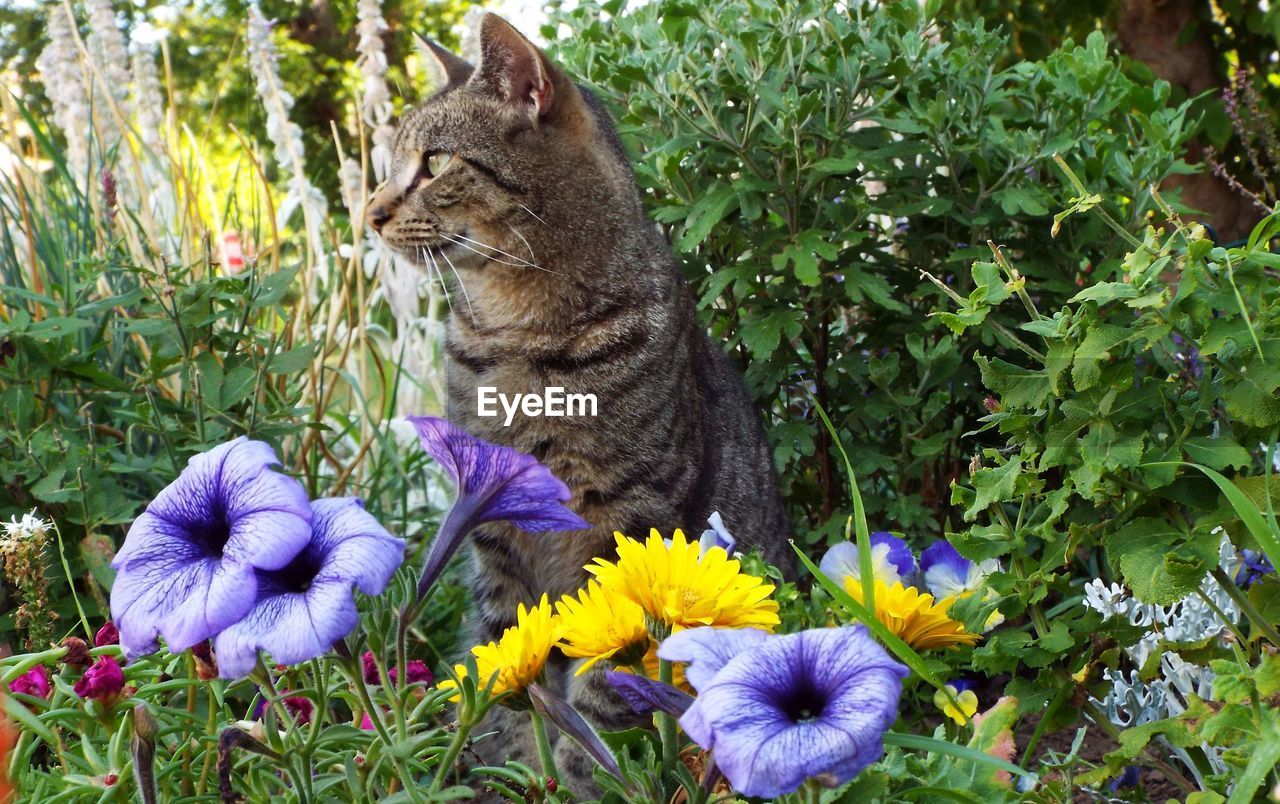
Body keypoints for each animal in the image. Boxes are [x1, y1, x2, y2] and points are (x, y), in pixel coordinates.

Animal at [366, 10, 788, 793]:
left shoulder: (630, 517)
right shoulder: (496, 524)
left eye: (433, 164)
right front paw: (516, 767)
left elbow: (603, 675)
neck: (516, 328)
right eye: (391, 165)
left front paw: (582, 772)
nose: (370, 211)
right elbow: (509, 657)